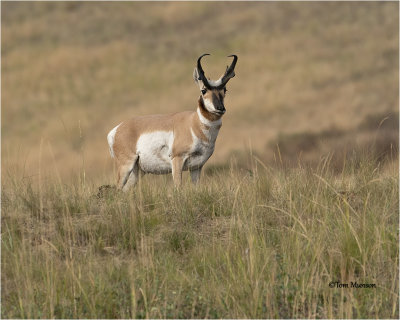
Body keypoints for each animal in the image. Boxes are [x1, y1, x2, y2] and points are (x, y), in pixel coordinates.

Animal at [106, 53, 238, 191]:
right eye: (203, 90)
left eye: (225, 90)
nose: (220, 108)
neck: (193, 123)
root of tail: (116, 129)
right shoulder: (177, 159)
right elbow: (178, 187)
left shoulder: (197, 167)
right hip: (126, 166)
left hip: (138, 172)